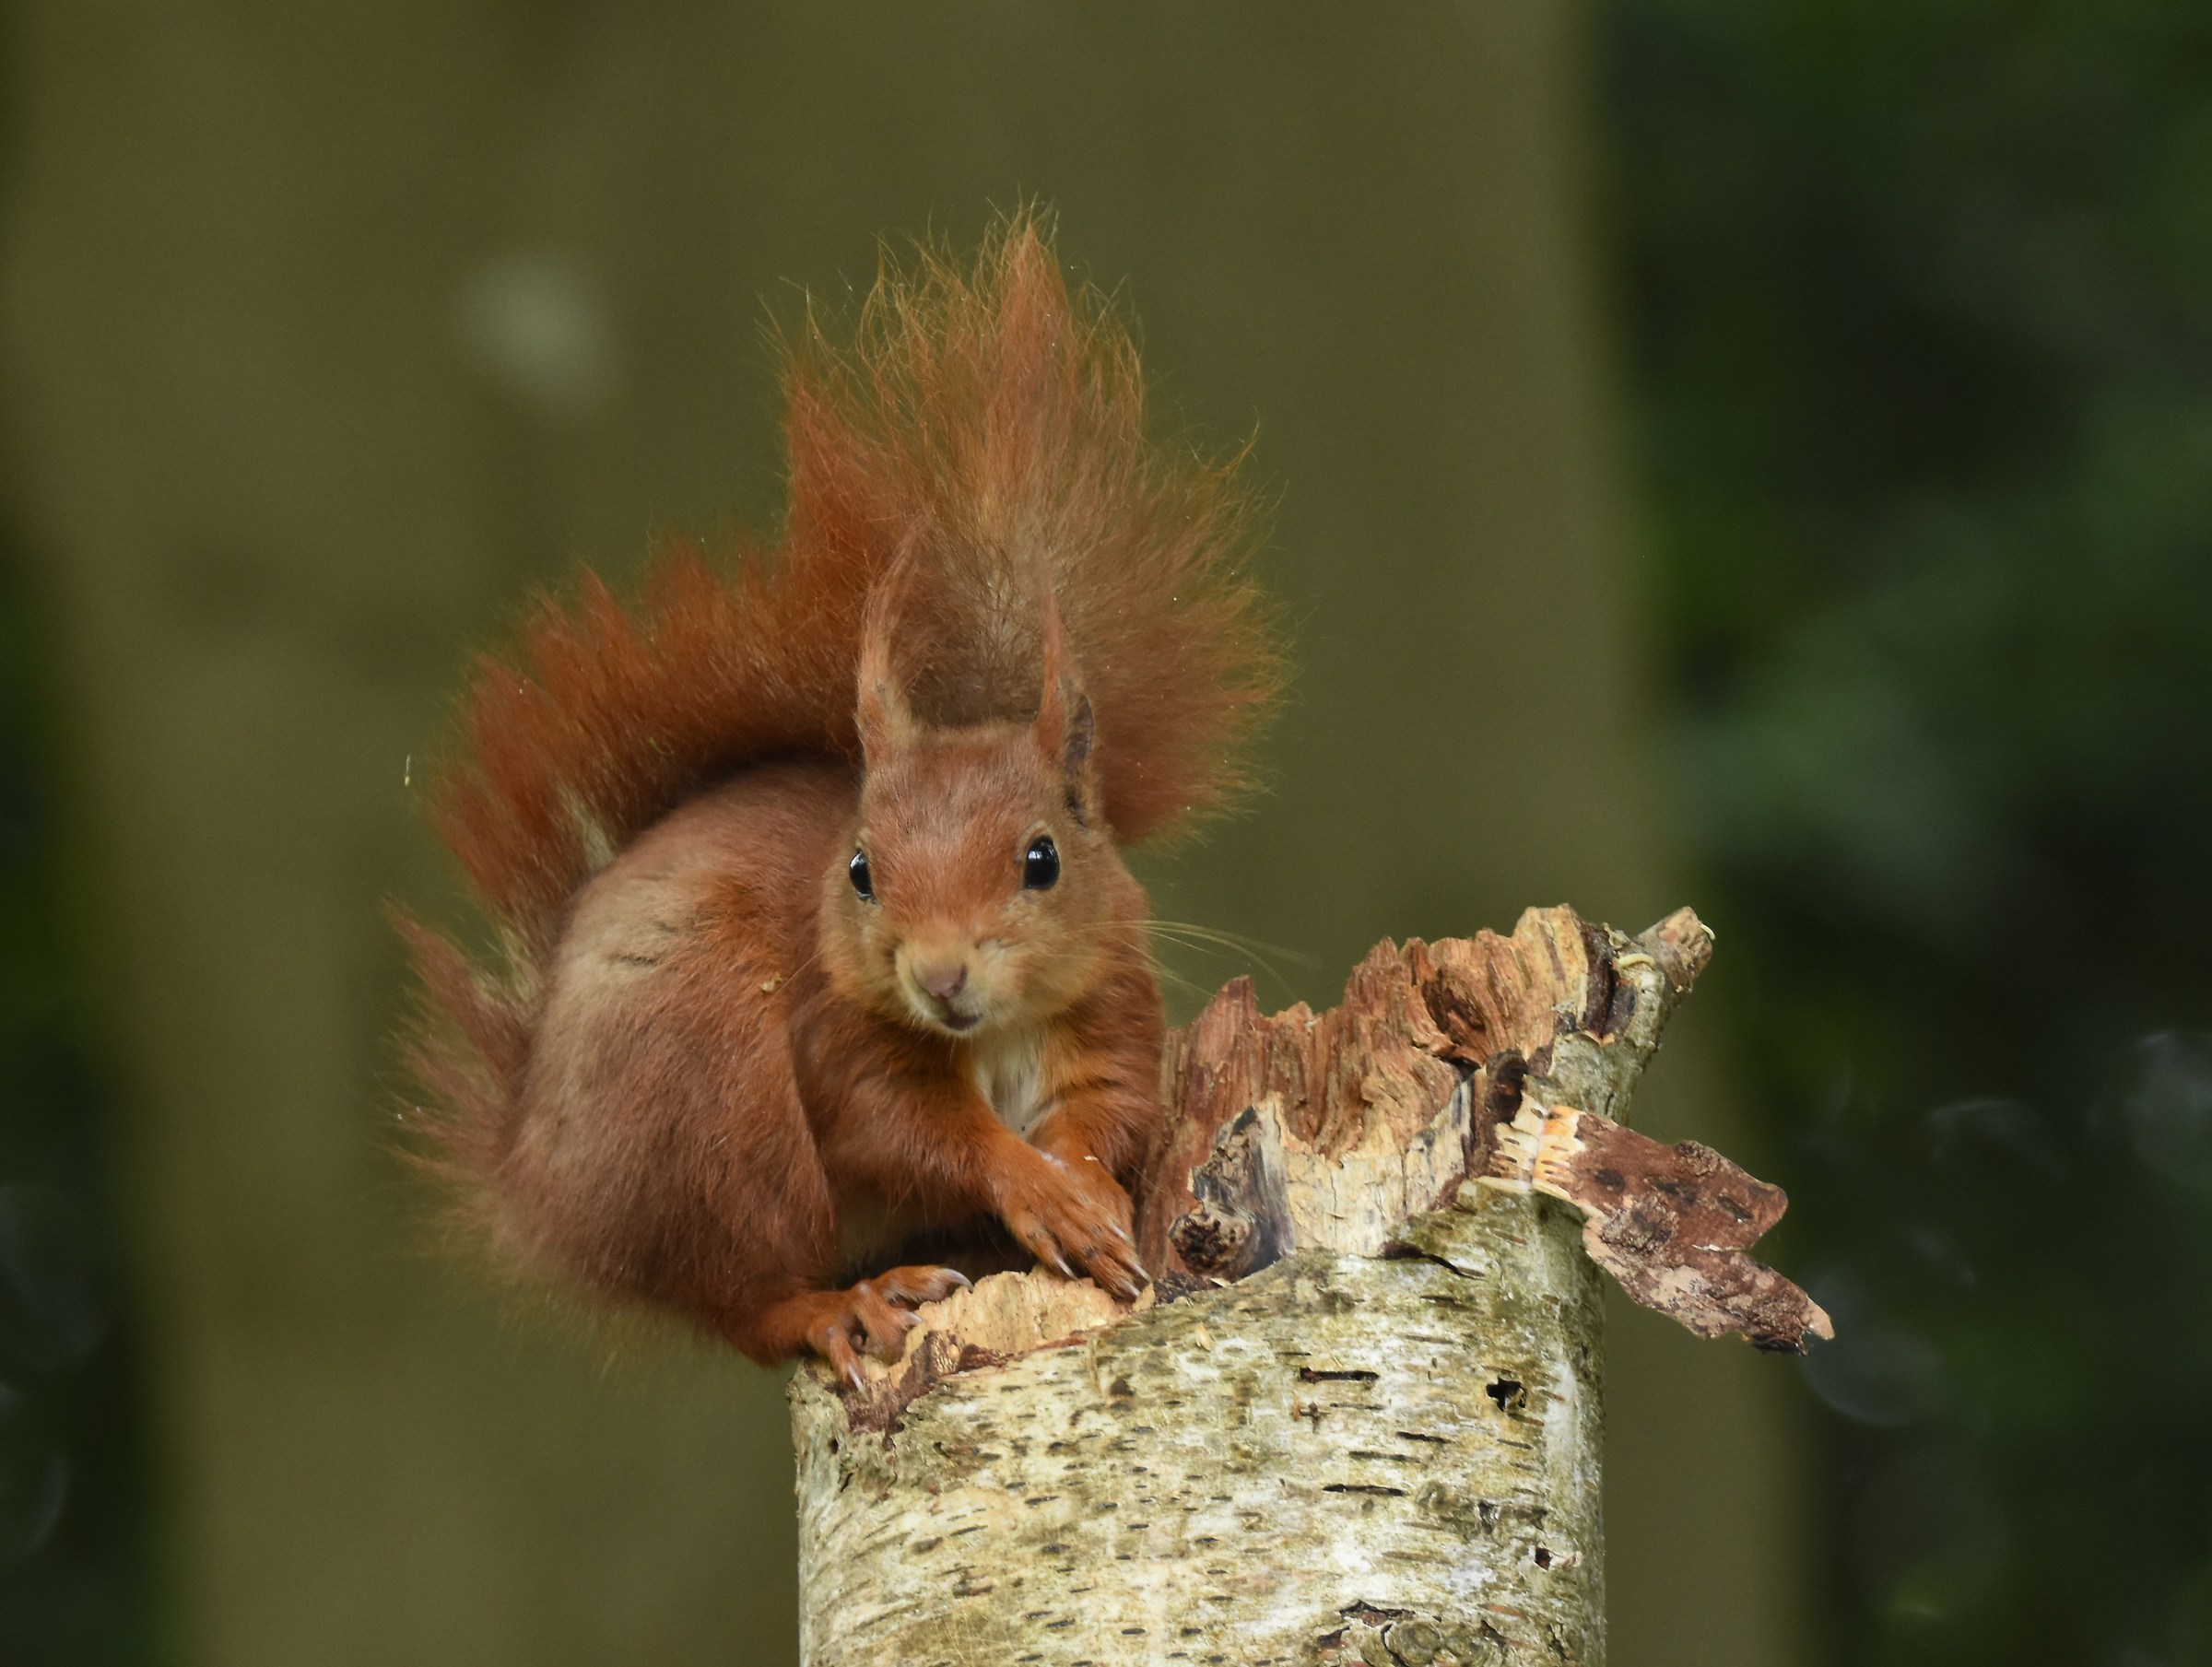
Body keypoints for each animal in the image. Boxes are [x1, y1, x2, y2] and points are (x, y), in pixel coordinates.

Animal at [397, 214, 1283, 1387]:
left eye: (1044, 858)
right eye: (860, 871)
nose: (941, 976)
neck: (992, 1032)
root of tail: (539, 1185)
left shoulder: (1111, 1007)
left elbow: (1110, 1110)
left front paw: (1087, 1190)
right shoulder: (843, 1041)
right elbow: (910, 1132)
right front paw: (1039, 1192)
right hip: (713, 1115)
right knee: (746, 1301)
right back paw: (851, 1303)